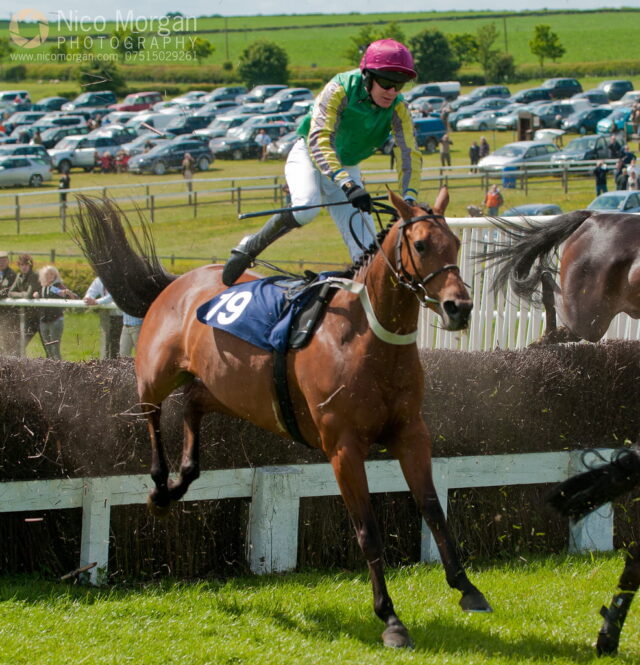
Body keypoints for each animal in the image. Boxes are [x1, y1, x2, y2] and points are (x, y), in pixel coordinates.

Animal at [72, 188, 491, 648]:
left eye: (456, 243)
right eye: (420, 245)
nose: (459, 307)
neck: (363, 336)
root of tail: (175, 282)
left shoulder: (411, 433)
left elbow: (433, 509)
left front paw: (467, 587)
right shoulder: (343, 447)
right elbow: (367, 529)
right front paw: (390, 618)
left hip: (232, 391)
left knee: (194, 403)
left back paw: (182, 478)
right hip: (155, 373)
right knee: (150, 411)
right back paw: (161, 487)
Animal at [480, 210, 640, 343]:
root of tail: (592, 218)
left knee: (573, 332)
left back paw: (551, 335)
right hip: (588, 312)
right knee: (549, 284)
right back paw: (548, 334)